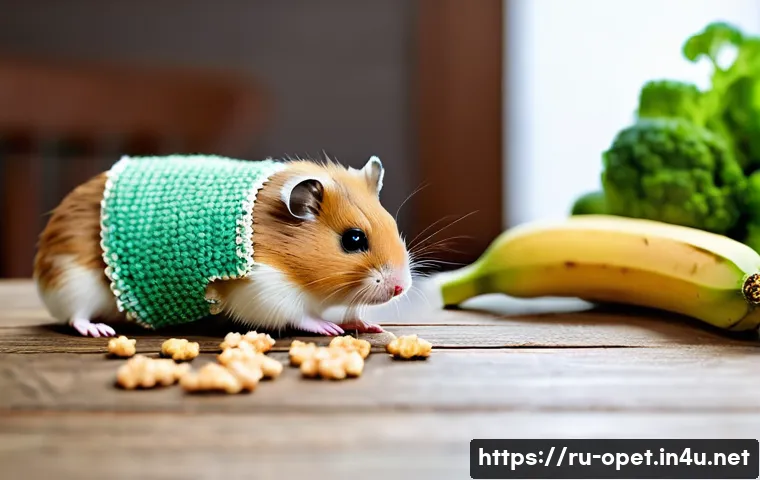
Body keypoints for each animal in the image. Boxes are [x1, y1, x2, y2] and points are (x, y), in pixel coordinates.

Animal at [33, 156, 413, 337]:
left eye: (393, 226)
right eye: (353, 239)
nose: (402, 287)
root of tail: (41, 268)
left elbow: (350, 313)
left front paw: (370, 326)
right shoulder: (262, 290)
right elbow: (300, 316)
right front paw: (328, 328)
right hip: (75, 281)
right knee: (75, 316)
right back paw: (99, 330)